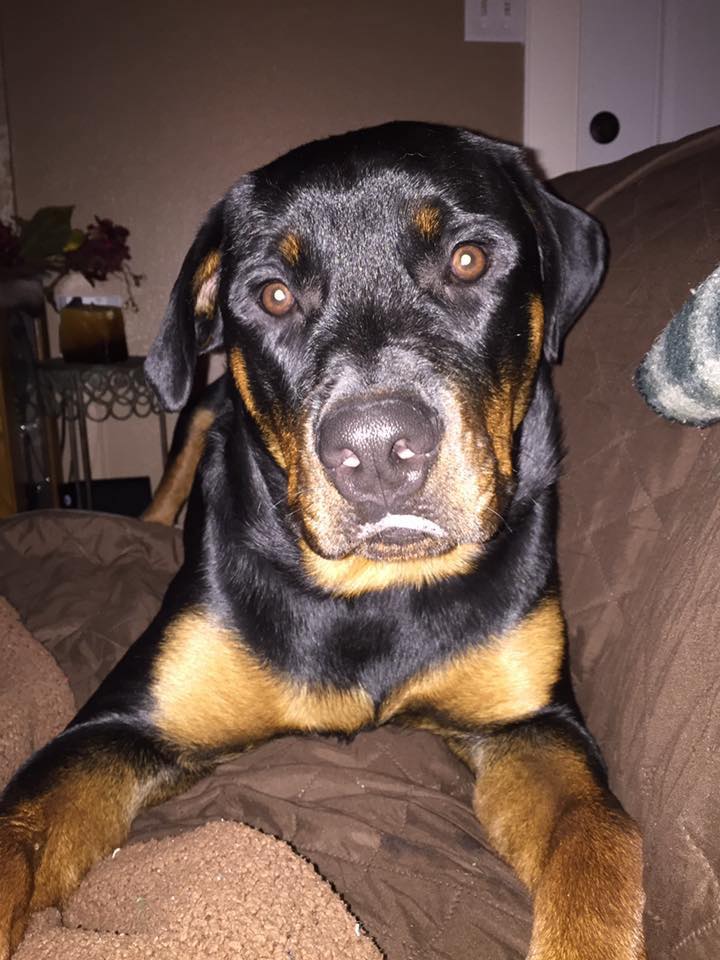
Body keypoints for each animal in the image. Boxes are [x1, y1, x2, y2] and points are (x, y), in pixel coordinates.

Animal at [0, 124, 648, 956]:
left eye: (469, 259)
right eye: (274, 294)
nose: (377, 451)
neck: (373, 592)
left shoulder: (532, 724)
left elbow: (597, 838)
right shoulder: (119, 726)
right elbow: (18, 826)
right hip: (200, 405)